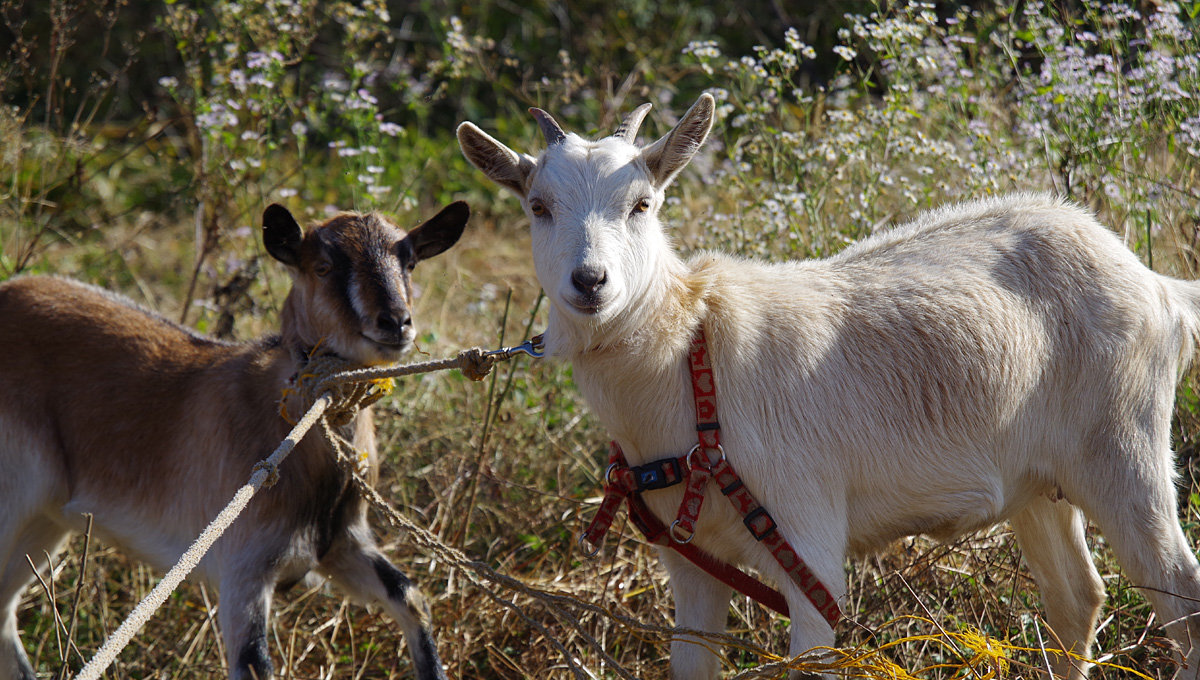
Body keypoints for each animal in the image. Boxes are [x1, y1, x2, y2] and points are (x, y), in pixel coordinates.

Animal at [0, 202, 468, 680]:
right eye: (322, 266)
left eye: (410, 262)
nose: (396, 322)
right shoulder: (244, 570)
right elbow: (254, 660)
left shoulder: (340, 544)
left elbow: (410, 597)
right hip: (16, 494)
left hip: (46, 518)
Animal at [460, 95, 1200, 680]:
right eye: (538, 206)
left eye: (642, 204)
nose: (590, 282)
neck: (693, 366)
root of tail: (1155, 283)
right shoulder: (690, 562)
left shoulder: (805, 539)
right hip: (1037, 480)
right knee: (1077, 598)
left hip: (1124, 443)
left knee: (1179, 593)